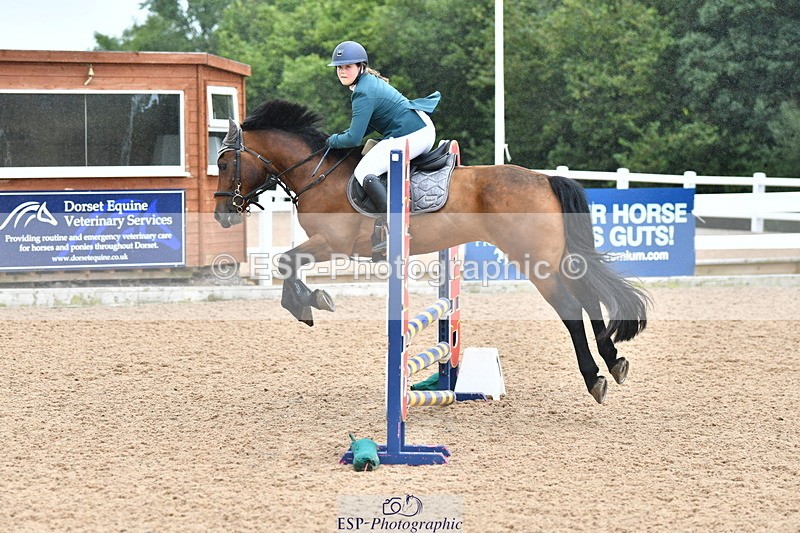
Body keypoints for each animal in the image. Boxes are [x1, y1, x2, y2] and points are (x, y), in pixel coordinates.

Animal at [213, 99, 649, 404]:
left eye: (225, 163)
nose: (222, 214)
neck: (317, 173)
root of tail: (544, 179)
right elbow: (286, 262)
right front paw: (309, 300)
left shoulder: (332, 244)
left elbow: (284, 260)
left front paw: (307, 303)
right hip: (555, 260)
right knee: (590, 298)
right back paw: (614, 361)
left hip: (537, 262)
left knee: (572, 309)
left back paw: (594, 377)